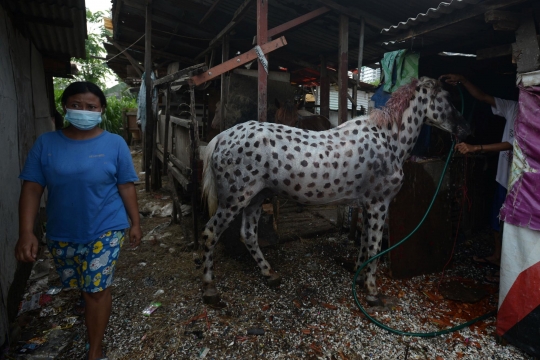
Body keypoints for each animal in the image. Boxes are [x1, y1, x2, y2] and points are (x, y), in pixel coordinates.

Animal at [200, 76, 470, 306]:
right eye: (447, 99)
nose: (466, 129)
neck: (387, 139)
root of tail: (221, 137)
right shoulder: (379, 204)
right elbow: (374, 247)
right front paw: (372, 292)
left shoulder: (367, 206)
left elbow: (364, 243)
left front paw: (359, 277)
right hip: (234, 200)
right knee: (210, 233)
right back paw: (210, 289)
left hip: (255, 198)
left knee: (248, 234)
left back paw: (269, 274)